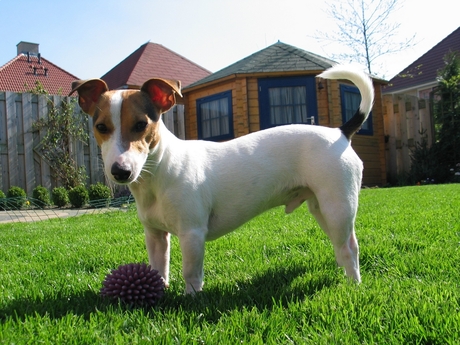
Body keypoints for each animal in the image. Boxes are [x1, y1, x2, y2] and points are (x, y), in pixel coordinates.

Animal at [71, 64, 374, 292]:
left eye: (141, 124)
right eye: (101, 127)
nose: (120, 171)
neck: (160, 171)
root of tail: (340, 132)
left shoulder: (192, 234)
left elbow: (191, 274)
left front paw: (191, 299)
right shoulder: (155, 236)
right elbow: (159, 269)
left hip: (338, 206)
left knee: (350, 247)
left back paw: (354, 284)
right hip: (320, 208)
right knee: (340, 244)